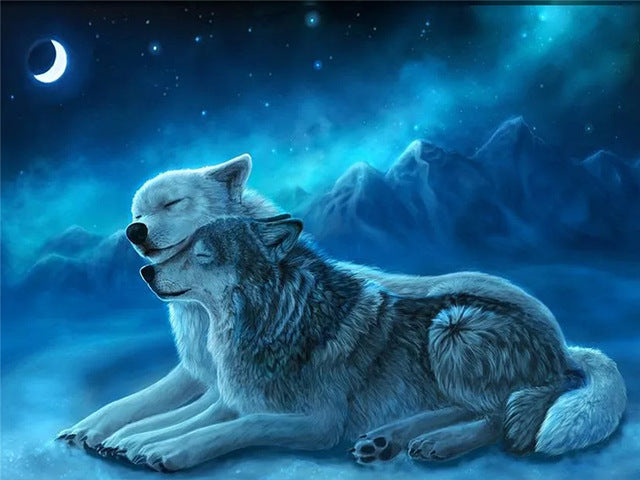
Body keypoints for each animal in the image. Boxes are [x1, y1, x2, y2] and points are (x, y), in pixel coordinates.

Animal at [57, 154, 625, 467]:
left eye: (201, 250)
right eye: (137, 212)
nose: (137, 246)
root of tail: (563, 345)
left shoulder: (313, 422)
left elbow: (228, 427)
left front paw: (165, 450)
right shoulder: (219, 385)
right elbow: (154, 407)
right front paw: (114, 433)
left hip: (452, 326)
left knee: (500, 415)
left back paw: (435, 442)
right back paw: (390, 439)